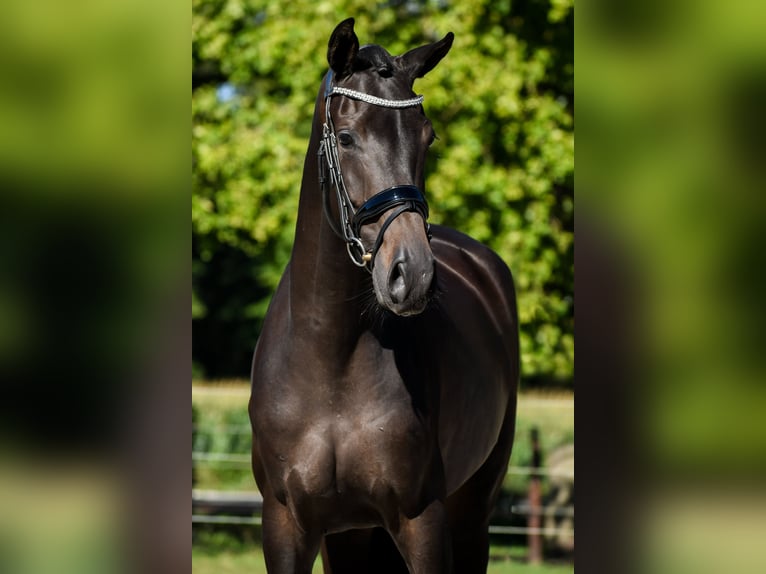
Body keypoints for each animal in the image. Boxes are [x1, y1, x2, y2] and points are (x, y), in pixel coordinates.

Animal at [252, 18, 520, 574]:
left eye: (428, 137)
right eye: (347, 137)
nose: (411, 273)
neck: (330, 358)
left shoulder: (423, 521)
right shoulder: (286, 526)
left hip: (472, 514)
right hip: (352, 536)